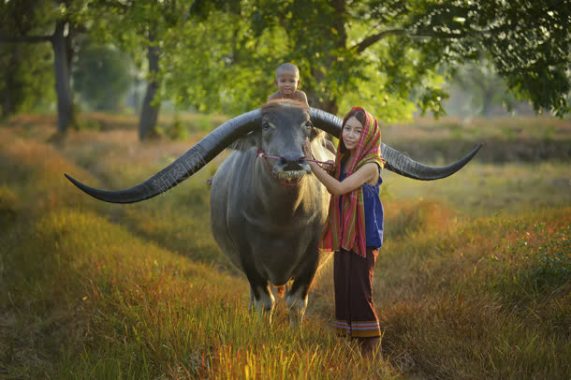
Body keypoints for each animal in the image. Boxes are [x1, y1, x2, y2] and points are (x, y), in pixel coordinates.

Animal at [65, 100, 480, 324]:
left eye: (307, 124)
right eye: (266, 124)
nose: (293, 160)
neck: (281, 220)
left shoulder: (312, 258)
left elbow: (296, 304)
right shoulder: (248, 259)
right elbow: (264, 302)